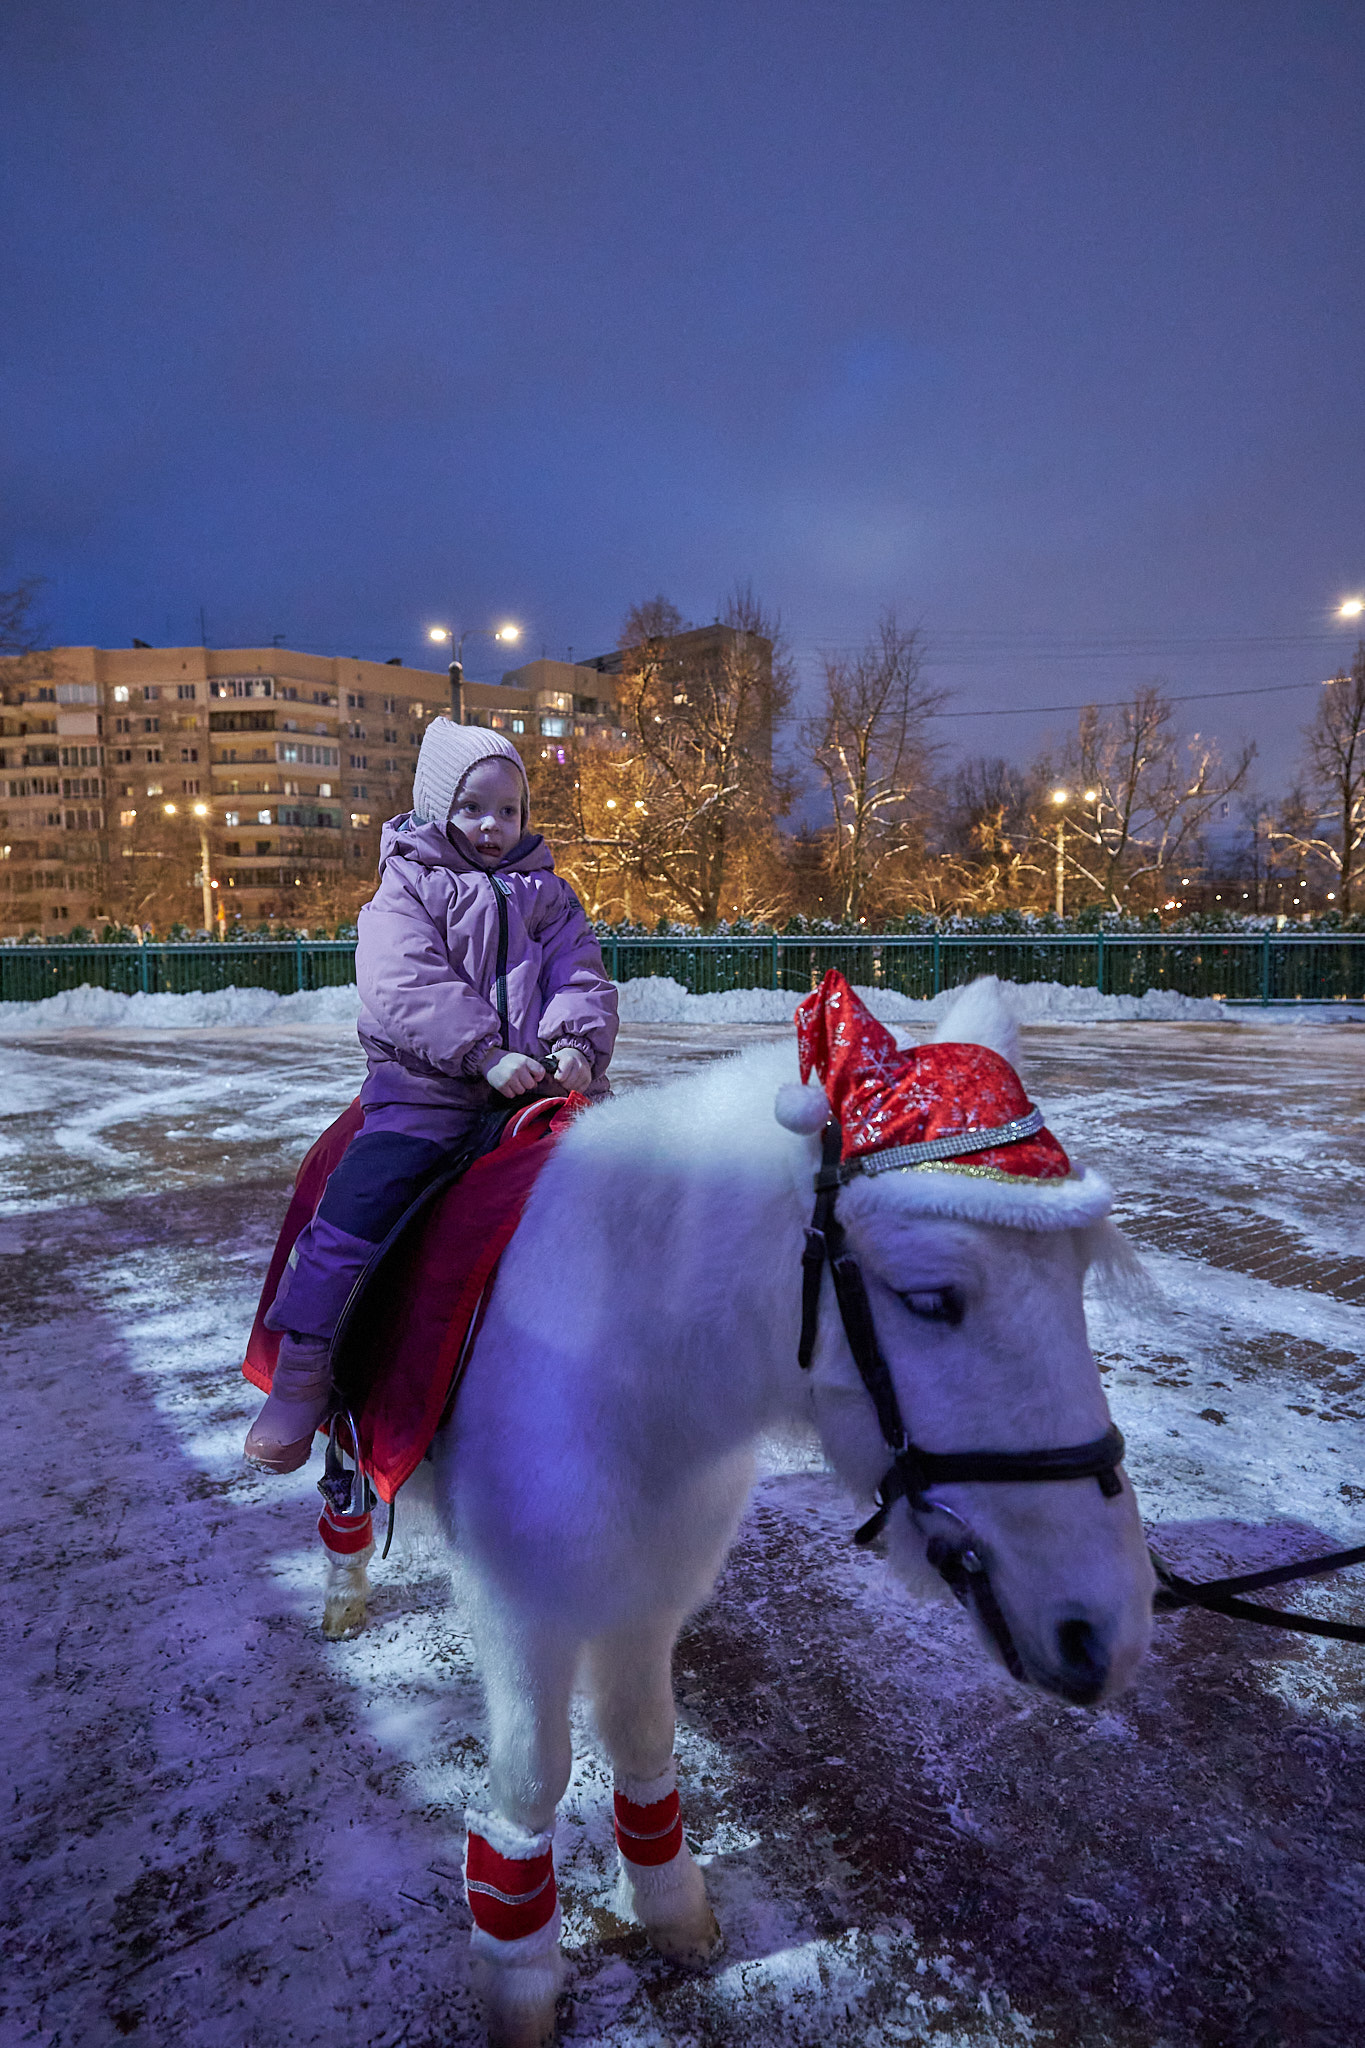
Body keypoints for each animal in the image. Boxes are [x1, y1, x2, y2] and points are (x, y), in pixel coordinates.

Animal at [330, 976, 1155, 2047]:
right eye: (931, 1297)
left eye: (1077, 1281)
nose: (1108, 1633)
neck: (628, 1376)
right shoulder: (521, 1609)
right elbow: (531, 1777)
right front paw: (519, 1983)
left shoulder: (652, 1593)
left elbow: (643, 1737)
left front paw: (674, 1911)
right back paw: (340, 1594)